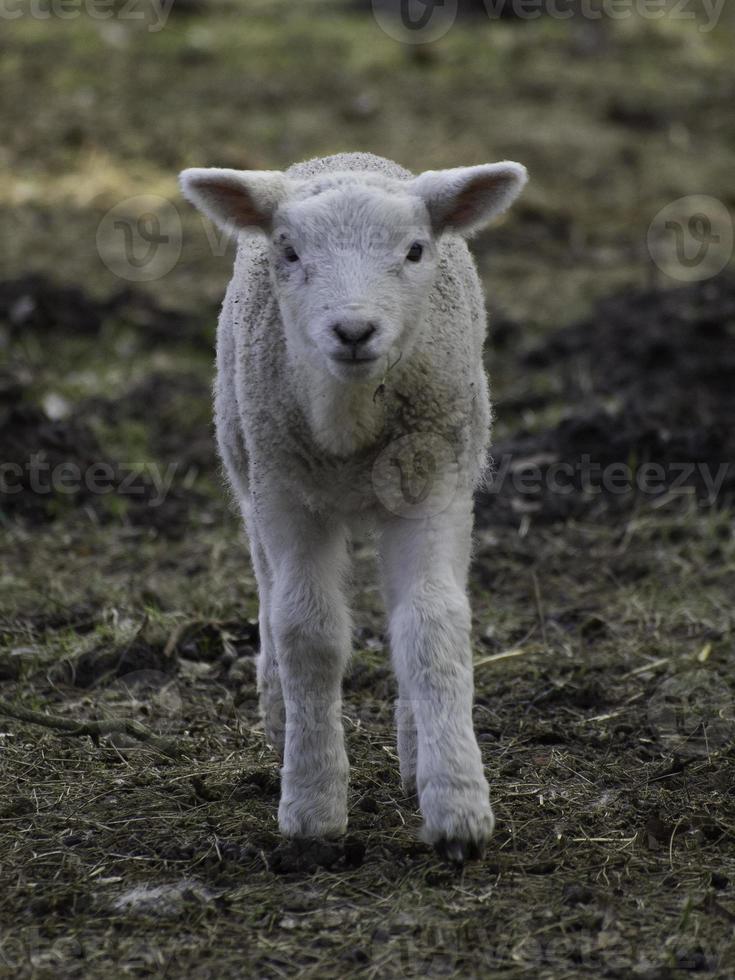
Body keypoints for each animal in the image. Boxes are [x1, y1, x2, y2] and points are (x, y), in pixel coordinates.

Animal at [182, 149, 532, 860]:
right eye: (288, 251)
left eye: (416, 250)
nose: (352, 330)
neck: (350, 431)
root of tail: (345, 156)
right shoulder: (287, 496)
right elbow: (306, 631)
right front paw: (313, 806)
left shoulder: (435, 488)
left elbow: (432, 625)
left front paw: (457, 806)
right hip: (246, 459)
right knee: (269, 592)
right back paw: (279, 715)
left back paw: (413, 748)